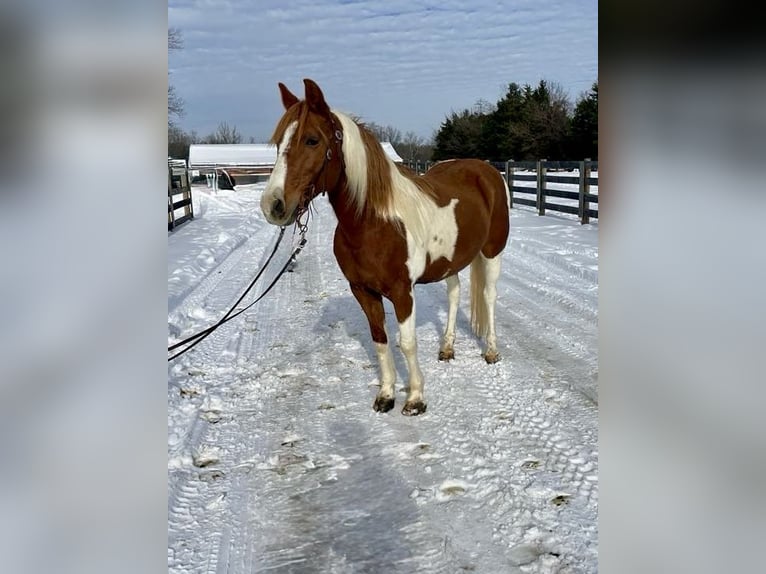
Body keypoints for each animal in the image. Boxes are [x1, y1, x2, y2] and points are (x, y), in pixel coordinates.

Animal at [260, 79, 510, 416]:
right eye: (278, 143)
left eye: (312, 140)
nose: (273, 205)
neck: (375, 223)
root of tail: (487, 171)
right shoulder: (363, 291)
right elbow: (380, 340)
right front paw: (387, 395)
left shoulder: (403, 292)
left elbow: (407, 342)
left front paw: (415, 399)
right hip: (451, 261)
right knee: (455, 293)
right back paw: (446, 348)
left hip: (492, 253)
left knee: (488, 296)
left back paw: (492, 352)